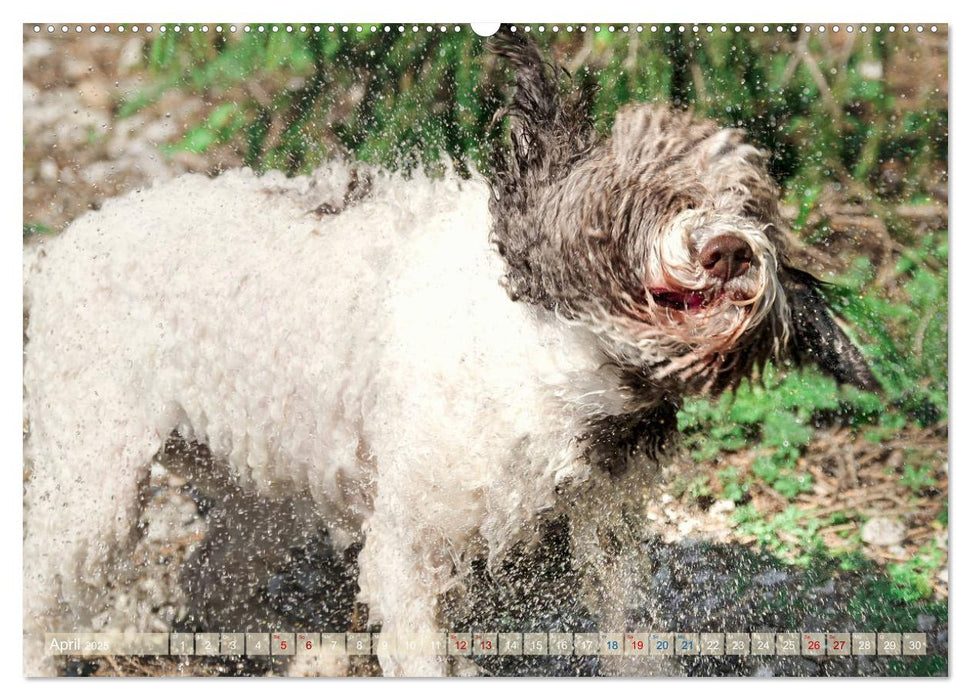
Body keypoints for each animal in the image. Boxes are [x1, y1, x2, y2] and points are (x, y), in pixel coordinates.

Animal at [22, 34, 876, 680]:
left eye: (751, 206)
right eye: (651, 199)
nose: (730, 249)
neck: (556, 358)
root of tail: (63, 245)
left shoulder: (604, 527)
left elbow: (629, 625)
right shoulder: (411, 547)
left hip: (257, 474)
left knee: (209, 578)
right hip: (96, 474)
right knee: (44, 586)